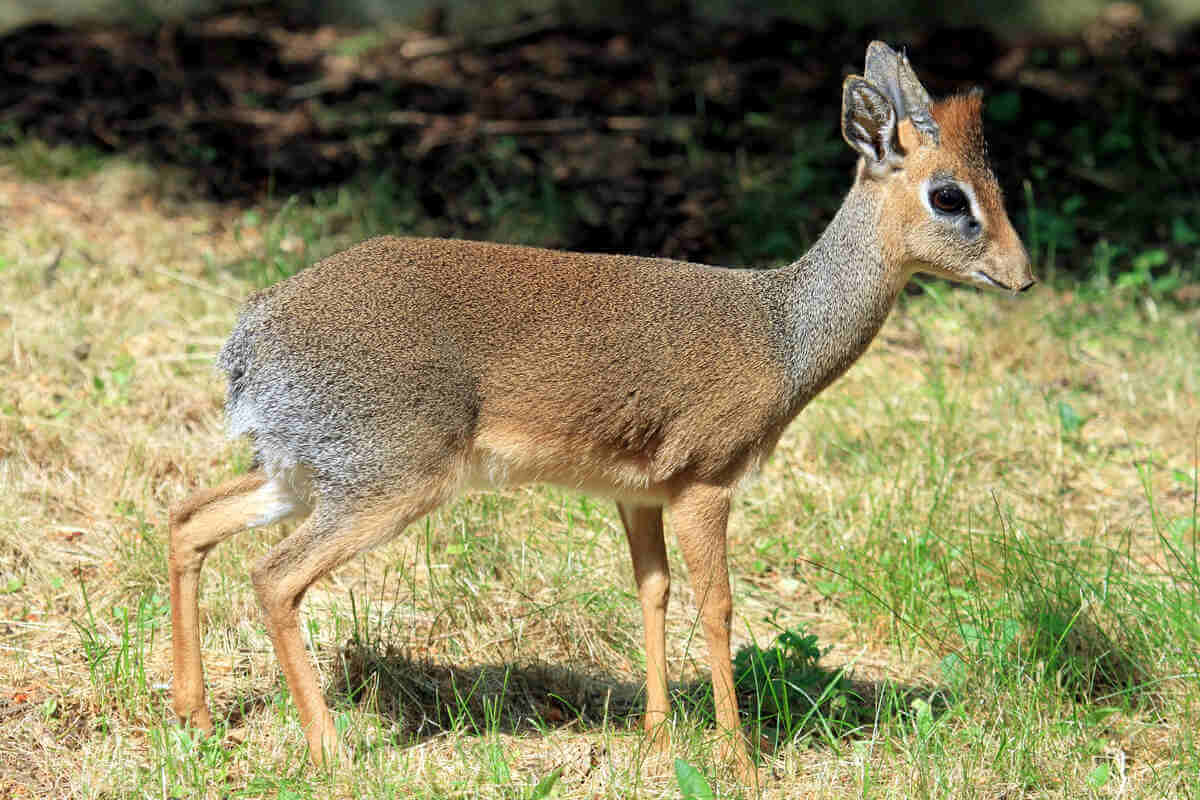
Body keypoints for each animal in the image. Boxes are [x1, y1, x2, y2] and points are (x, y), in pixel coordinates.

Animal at [166, 42, 1032, 782]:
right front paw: (741, 760)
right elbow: (718, 607)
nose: (1021, 276)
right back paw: (331, 753)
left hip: (303, 471)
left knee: (188, 517)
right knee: (273, 575)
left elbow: (652, 590)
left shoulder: (637, 493)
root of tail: (252, 334)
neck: (784, 332)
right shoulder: (707, 482)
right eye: (948, 195)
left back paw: (197, 716)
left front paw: (657, 738)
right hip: (387, 480)